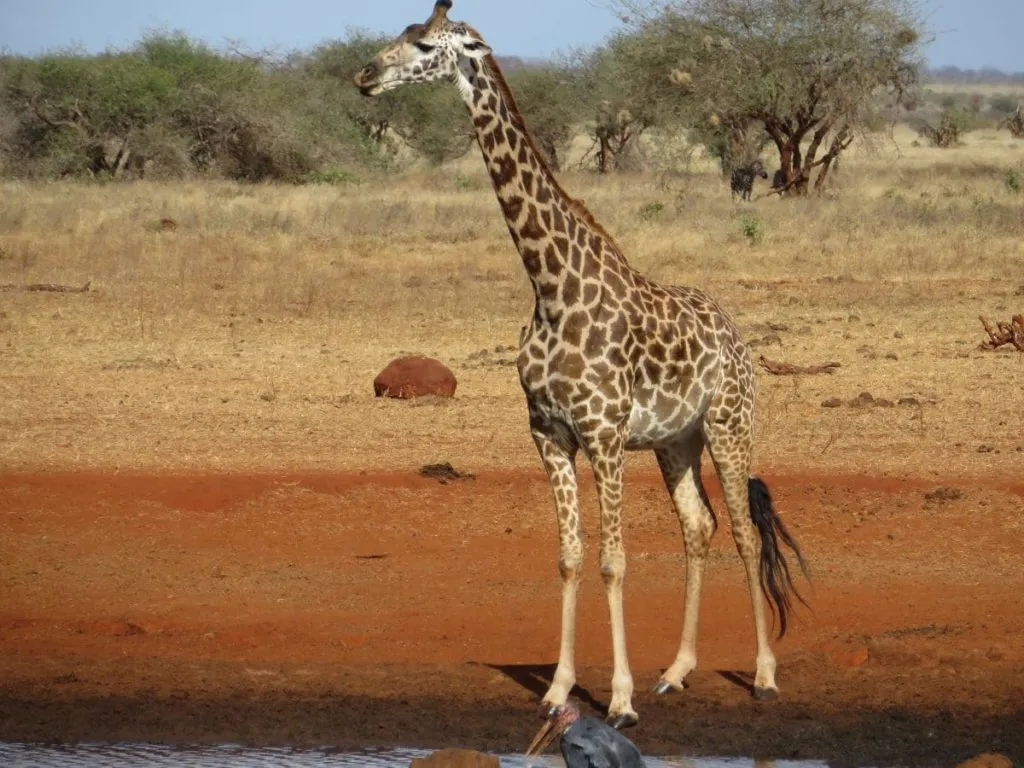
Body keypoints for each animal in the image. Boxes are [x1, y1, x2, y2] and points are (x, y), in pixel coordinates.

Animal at [352, 0, 806, 729]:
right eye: (398, 34)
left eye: (422, 44)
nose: (364, 75)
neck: (551, 286)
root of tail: (737, 336)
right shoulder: (550, 434)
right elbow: (569, 557)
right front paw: (560, 688)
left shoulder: (604, 434)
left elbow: (613, 562)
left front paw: (617, 697)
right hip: (677, 440)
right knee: (699, 527)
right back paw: (675, 672)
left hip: (731, 426)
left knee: (745, 533)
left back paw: (763, 675)